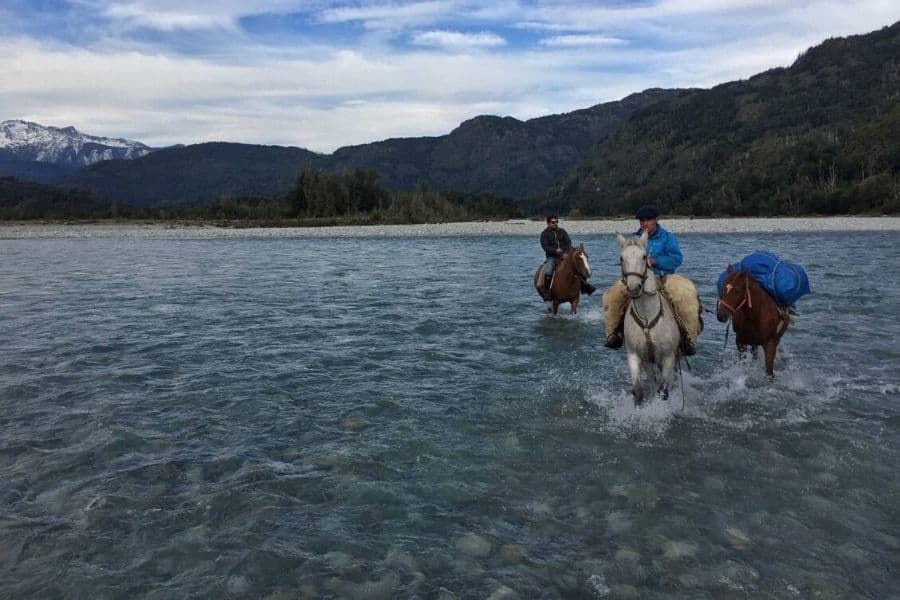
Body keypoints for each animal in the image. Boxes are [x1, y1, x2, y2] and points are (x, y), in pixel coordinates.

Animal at [620, 232, 684, 406]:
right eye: (622, 258)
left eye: (644, 256)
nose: (633, 288)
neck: (647, 318)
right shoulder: (634, 356)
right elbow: (638, 392)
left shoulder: (669, 357)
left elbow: (663, 392)